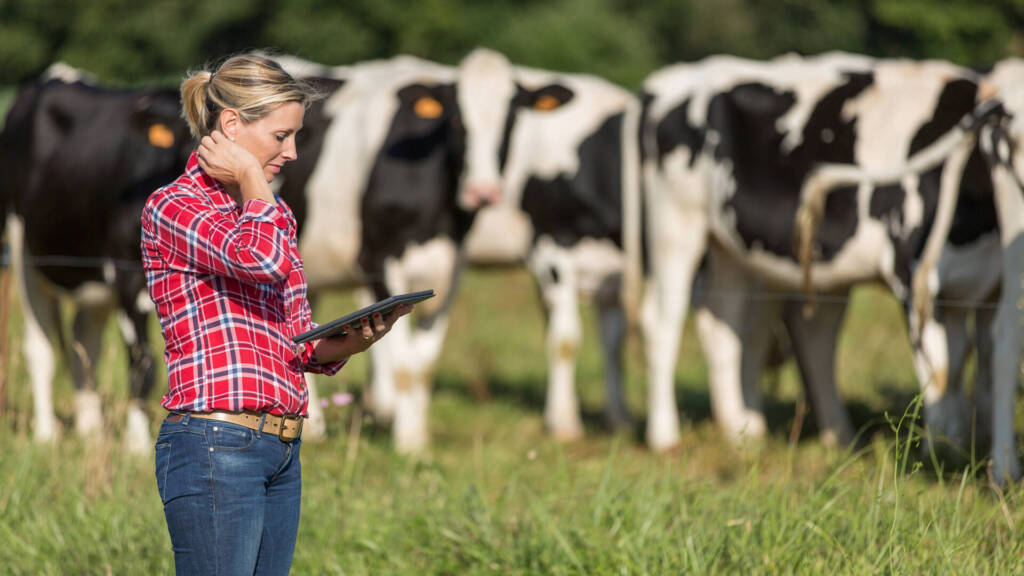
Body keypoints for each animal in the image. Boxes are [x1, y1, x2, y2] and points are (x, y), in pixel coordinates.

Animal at [0, 65, 193, 453]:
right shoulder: (128, 274)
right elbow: (142, 362)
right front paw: (137, 444)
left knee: (83, 345)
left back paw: (90, 429)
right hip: (23, 248)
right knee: (40, 345)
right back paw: (46, 433)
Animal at [634, 52, 1019, 475]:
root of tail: (683, 76)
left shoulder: (987, 287)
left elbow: (976, 362)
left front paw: (972, 443)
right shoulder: (913, 274)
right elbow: (939, 370)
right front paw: (938, 455)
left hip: (731, 249)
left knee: (729, 326)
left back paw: (747, 434)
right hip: (675, 225)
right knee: (664, 321)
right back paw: (666, 437)